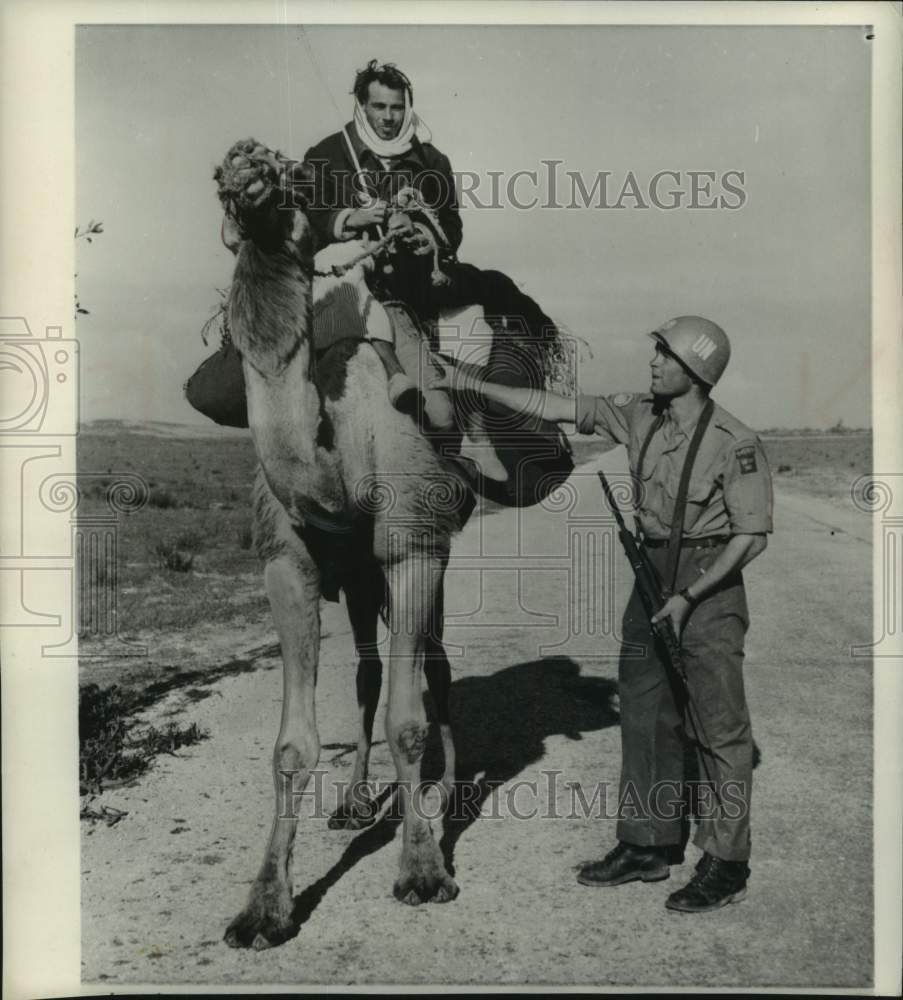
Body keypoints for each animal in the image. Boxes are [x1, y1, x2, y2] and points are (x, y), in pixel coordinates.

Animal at [215, 139, 476, 944]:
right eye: (219, 178)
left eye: (297, 177)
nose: (244, 169)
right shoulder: (287, 563)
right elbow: (292, 745)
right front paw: (264, 905)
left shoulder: (413, 548)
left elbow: (407, 721)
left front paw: (422, 870)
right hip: (358, 582)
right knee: (365, 672)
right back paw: (357, 802)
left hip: (426, 555)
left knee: (435, 666)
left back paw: (451, 794)